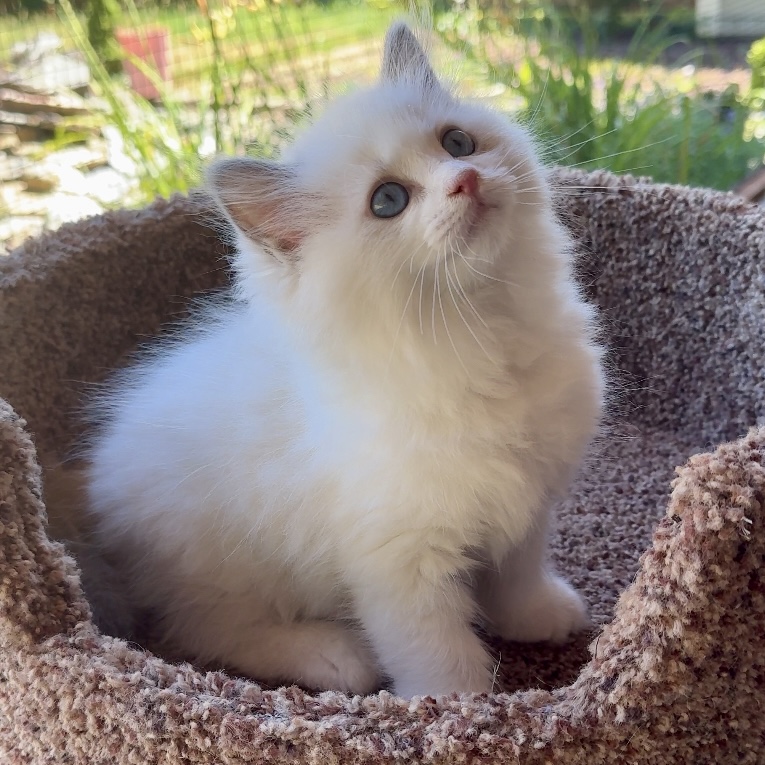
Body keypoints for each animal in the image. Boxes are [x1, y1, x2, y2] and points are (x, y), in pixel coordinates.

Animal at [85, 20, 604, 696]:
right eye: (387, 201)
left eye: (457, 142)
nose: (465, 179)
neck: (483, 337)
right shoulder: (399, 561)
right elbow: (438, 655)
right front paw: (458, 709)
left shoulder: (530, 503)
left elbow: (516, 575)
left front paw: (537, 616)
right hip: (226, 567)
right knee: (203, 631)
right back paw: (337, 658)